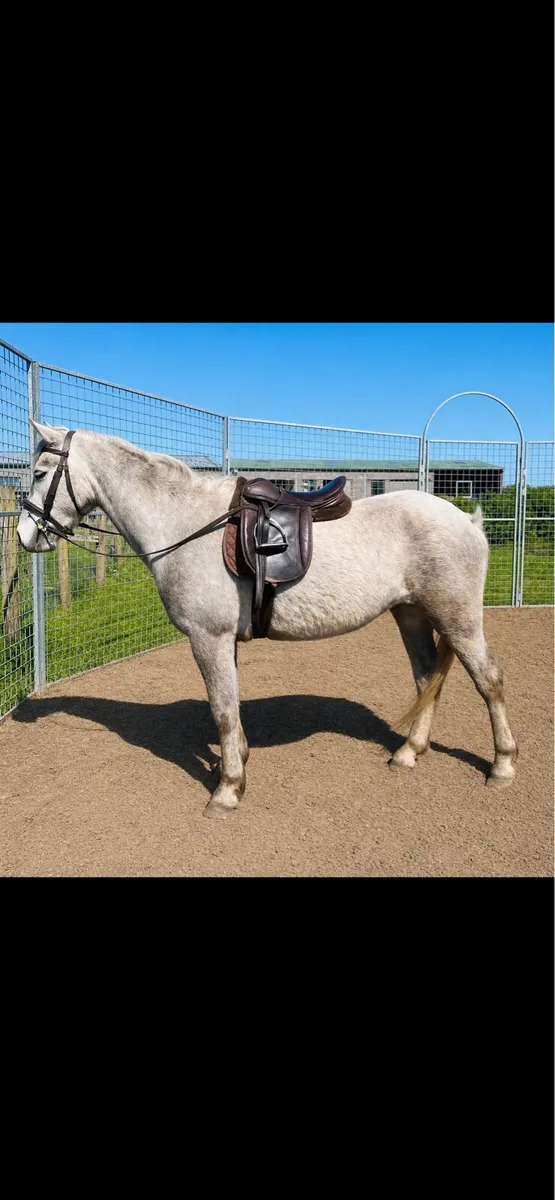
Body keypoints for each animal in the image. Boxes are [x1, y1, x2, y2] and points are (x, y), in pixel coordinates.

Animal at [16, 422, 518, 818]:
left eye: (40, 473)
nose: (24, 535)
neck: (186, 525)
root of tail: (468, 522)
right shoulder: (223, 642)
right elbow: (231, 706)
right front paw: (237, 763)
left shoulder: (208, 638)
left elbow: (221, 709)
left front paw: (226, 790)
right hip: (411, 614)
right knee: (425, 679)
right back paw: (409, 752)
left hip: (457, 619)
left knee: (489, 680)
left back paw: (502, 764)